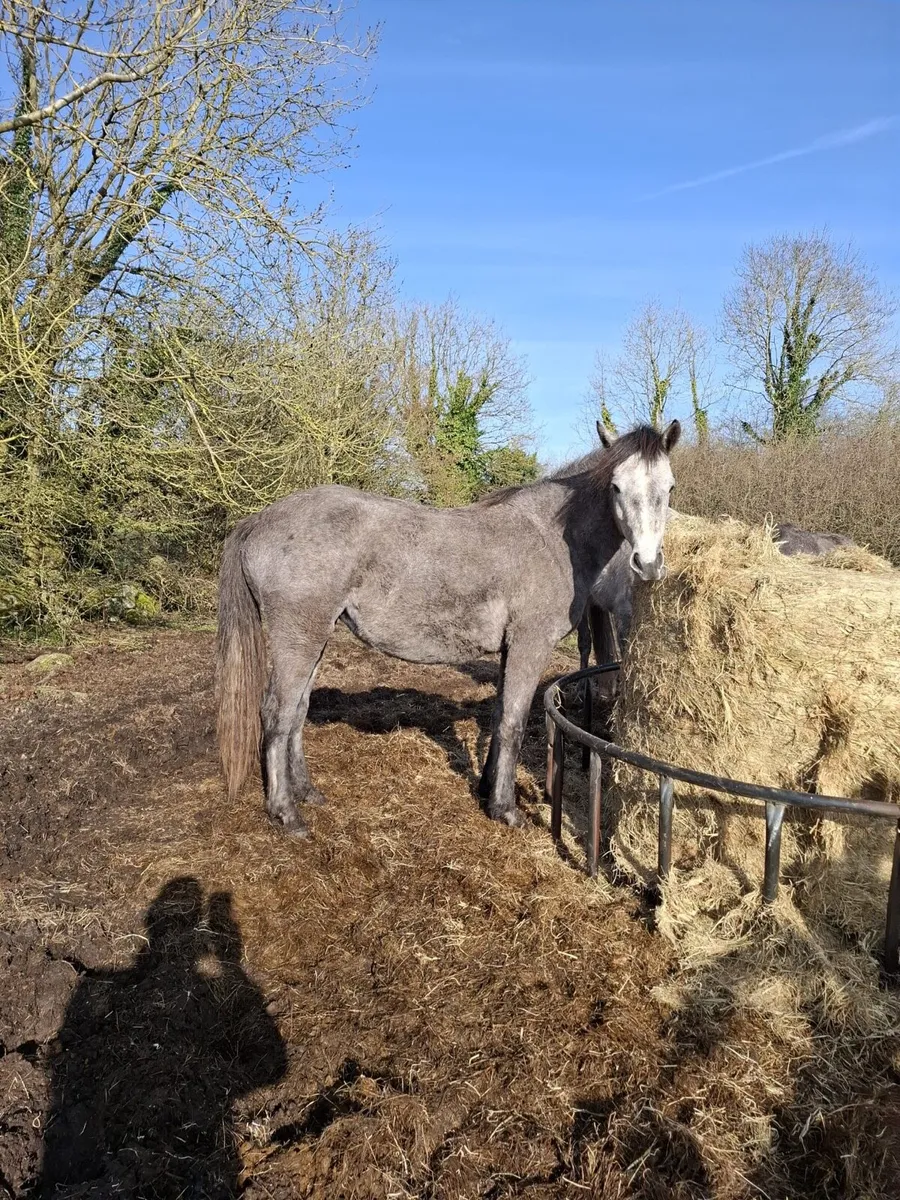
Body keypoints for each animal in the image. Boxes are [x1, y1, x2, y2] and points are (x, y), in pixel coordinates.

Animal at [216, 421, 681, 837]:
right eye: (616, 487)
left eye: (670, 487)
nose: (647, 563)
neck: (552, 537)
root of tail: (258, 520)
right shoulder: (530, 646)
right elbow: (513, 723)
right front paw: (505, 809)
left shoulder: (510, 650)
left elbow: (498, 715)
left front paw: (486, 789)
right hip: (298, 638)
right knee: (277, 715)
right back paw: (286, 813)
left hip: (315, 639)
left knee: (297, 712)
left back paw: (307, 792)